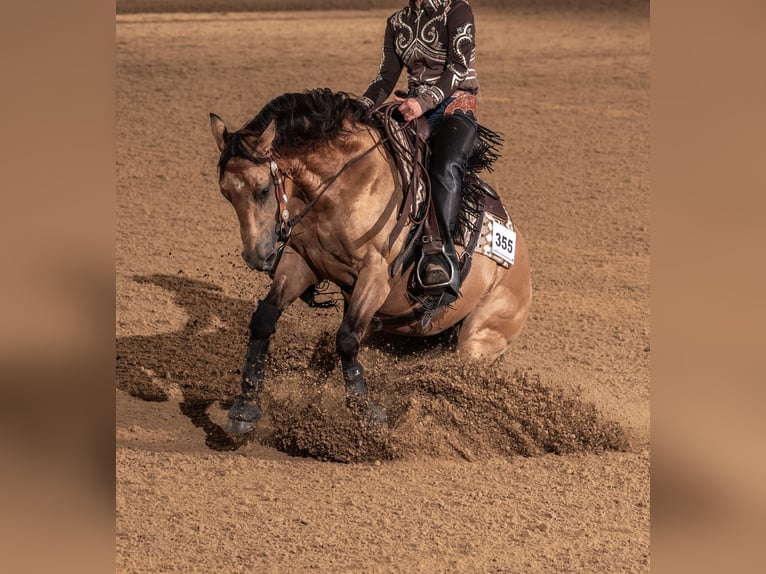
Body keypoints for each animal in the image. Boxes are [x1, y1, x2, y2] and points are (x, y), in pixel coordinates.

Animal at [212, 88, 536, 434]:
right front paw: (245, 407)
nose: (256, 256)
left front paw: (367, 414)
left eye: (262, 189)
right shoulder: (302, 264)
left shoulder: (375, 276)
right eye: (226, 194)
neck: (345, 184)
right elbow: (264, 319)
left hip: (479, 340)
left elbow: (346, 339)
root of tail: (523, 273)